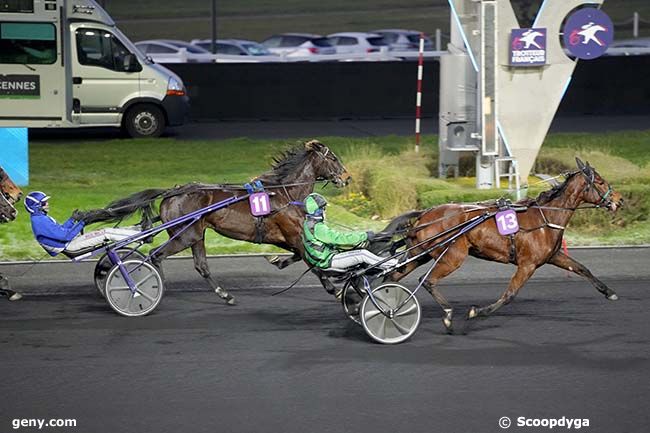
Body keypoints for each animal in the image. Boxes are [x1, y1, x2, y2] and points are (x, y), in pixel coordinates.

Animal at [77, 138, 350, 304]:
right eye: (334, 158)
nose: (346, 178)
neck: (284, 193)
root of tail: (172, 192)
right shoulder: (293, 234)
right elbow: (312, 263)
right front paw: (335, 289)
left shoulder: (283, 237)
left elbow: (294, 255)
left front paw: (276, 260)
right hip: (185, 235)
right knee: (155, 255)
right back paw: (148, 284)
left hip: (197, 234)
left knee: (200, 265)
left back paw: (224, 294)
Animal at [384, 159, 624, 330]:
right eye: (600, 181)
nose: (620, 200)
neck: (546, 217)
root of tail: (425, 214)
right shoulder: (527, 264)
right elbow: (509, 295)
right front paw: (477, 312)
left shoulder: (553, 256)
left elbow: (582, 268)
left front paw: (610, 292)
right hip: (453, 255)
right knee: (427, 281)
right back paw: (448, 315)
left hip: (420, 253)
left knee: (392, 276)